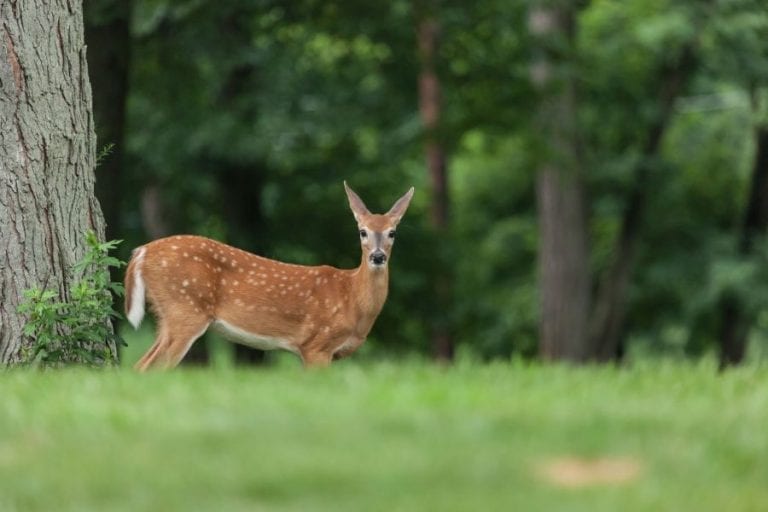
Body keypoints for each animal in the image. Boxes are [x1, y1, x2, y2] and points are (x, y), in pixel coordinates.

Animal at [124, 182, 414, 370]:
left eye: (392, 232)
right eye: (362, 231)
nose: (378, 256)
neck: (352, 298)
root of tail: (142, 252)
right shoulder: (316, 344)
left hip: (168, 315)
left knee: (141, 365)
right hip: (185, 309)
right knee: (149, 367)